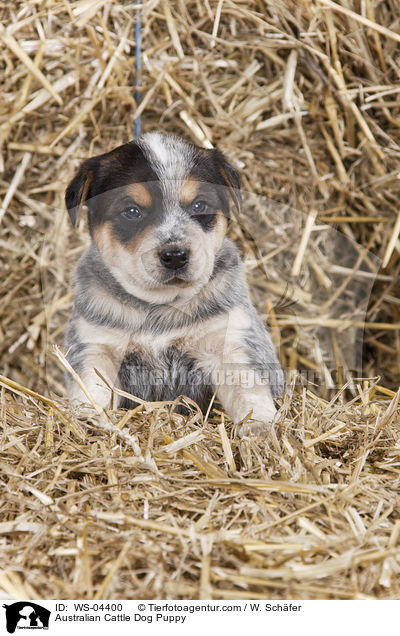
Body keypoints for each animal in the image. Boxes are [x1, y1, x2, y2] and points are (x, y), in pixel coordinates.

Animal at [65, 132, 284, 434]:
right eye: (131, 211)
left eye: (199, 205)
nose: (175, 255)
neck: (159, 306)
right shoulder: (96, 346)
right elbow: (90, 388)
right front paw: (85, 424)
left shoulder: (230, 342)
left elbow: (250, 390)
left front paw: (262, 429)